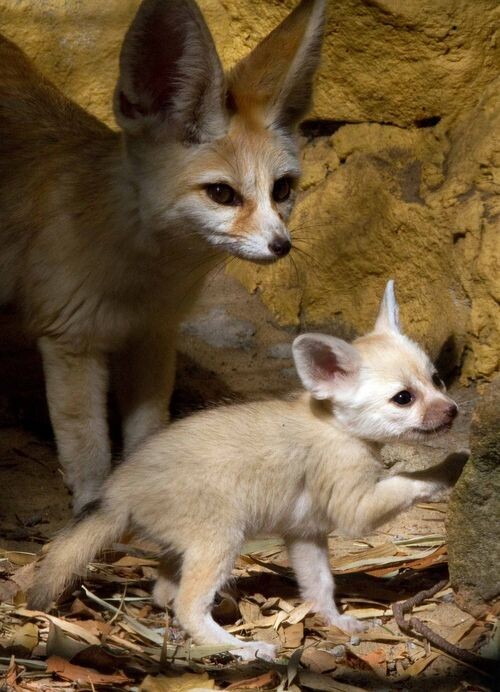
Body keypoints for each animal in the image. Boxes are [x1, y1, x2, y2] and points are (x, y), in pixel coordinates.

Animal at [0, 0, 326, 514]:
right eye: (221, 194)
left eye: (282, 190)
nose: (282, 246)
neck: (146, 278)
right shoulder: (70, 340)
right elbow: (88, 448)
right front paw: (92, 513)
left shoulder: (153, 335)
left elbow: (147, 435)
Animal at [27, 281, 464, 661]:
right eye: (403, 398)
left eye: (437, 380)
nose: (453, 411)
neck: (334, 425)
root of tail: (115, 491)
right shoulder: (354, 509)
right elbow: (407, 482)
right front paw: (449, 467)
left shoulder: (306, 532)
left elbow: (320, 586)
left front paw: (336, 621)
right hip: (221, 539)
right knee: (187, 606)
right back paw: (245, 649)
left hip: (187, 547)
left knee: (164, 594)